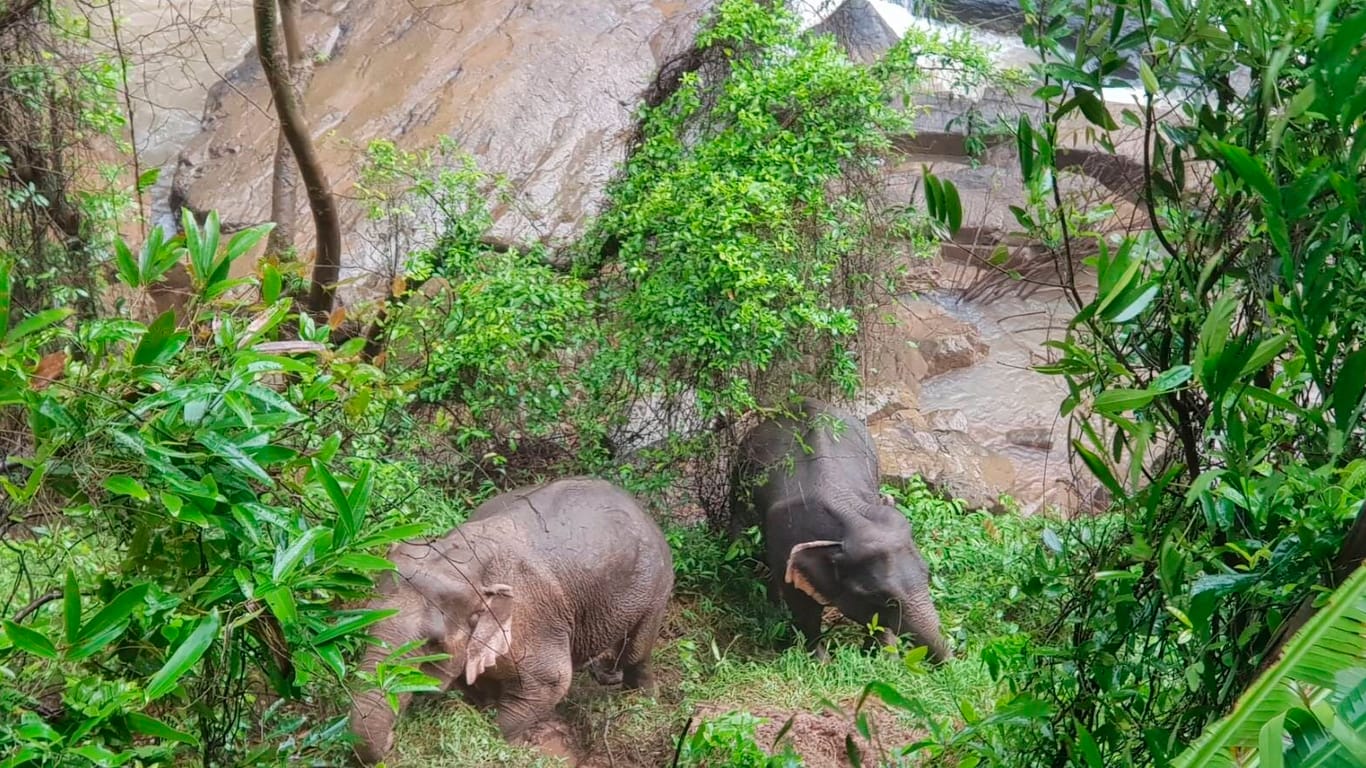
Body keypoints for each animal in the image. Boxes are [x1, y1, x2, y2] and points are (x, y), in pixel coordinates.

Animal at [349, 475, 674, 759]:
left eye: (433, 644)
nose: (392, 740)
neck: (465, 561)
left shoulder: (534, 622)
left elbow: (552, 682)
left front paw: (511, 740)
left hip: (656, 585)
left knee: (637, 650)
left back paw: (643, 697)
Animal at [737, 396, 950, 661]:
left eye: (927, 575)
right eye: (883, 597)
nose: (950, 662)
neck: (849, 516)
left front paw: (882, 657)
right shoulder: (784, 542)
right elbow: (803, 608)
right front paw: (820, 661)